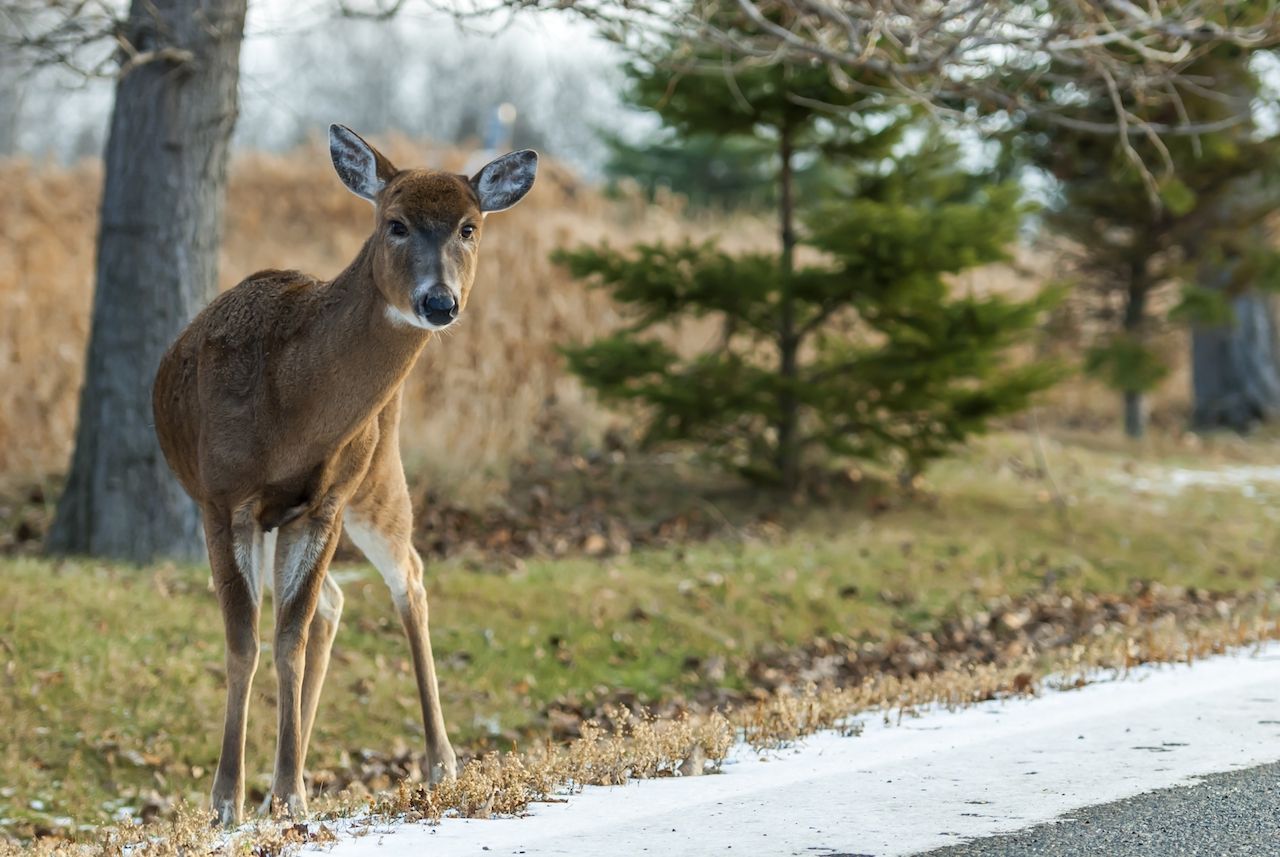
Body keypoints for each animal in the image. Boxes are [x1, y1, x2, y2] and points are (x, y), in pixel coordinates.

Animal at [152, 125, 537, 826]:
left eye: (469, 227)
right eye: (395, 223)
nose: (439, 301)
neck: (289, 408)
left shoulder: (326, 502)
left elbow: (286, 638)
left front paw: (287, 794)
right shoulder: (223, 500)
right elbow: (247, 640)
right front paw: (229, 802)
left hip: (377, 477)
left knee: (405, 577)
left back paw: (440, 764)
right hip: (288, 515)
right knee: (331, 603)